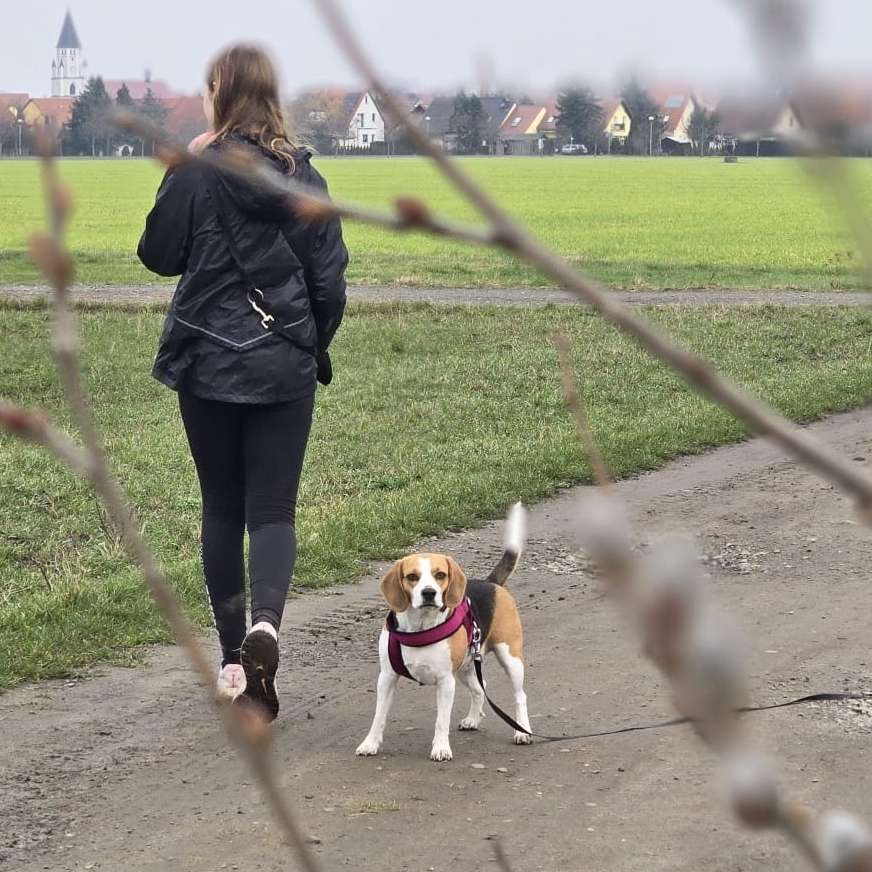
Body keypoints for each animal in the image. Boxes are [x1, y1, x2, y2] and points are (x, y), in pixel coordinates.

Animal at [356, 504, 532, 764]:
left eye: (440, 575)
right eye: (412, 577)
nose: (429, 593)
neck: (420, 627)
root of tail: (490, 582)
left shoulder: (445, 681)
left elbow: (441, 720)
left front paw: (440, 748)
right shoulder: (386, 677)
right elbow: (379, 716)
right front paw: (370, 744)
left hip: (510, 657)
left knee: (520, 695)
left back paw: (522, 731)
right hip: (467, 665)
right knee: (481, 687)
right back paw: (473, 719)